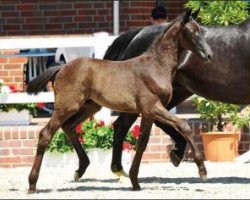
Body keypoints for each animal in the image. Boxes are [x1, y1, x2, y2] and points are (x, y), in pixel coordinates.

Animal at [26, 9, 211, 192]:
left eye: (202, 31)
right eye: (192, 31)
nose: (209, 54)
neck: (156, 66)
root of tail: (62, 67)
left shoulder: (148, 113)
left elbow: (142, 143)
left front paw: (135, 182)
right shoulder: (153, 106)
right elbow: (184, 125)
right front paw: (202, 170)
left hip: (89, 107)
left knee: (68, 126)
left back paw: (80, 170)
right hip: (67, 106)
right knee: (46, 133)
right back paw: (32, 184)